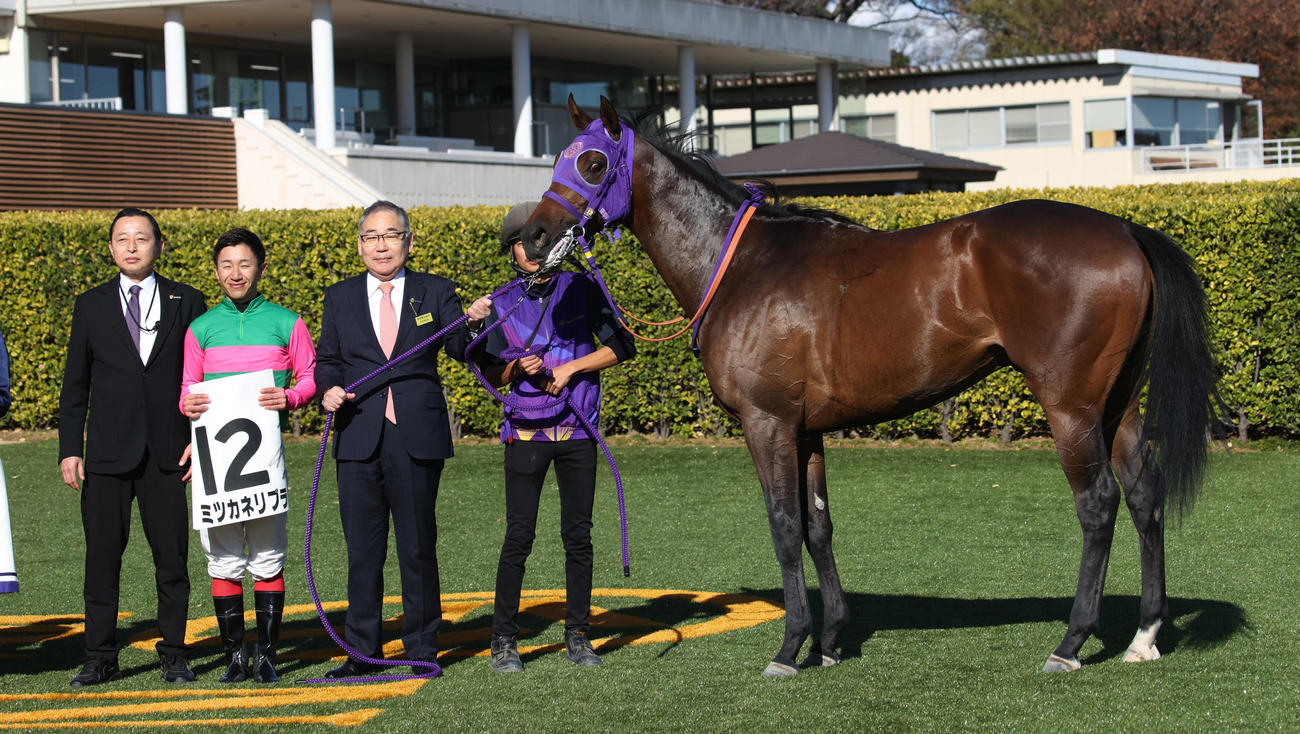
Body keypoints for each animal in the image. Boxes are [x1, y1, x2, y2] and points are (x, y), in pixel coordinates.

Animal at [521, 95, 1219, 676]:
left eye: (590, 162)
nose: (529, 237)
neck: (743, 266)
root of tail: (1125, 230)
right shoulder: (806, 432)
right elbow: (818, 526)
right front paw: (830, 641)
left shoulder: (767, 423)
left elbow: (783, 525)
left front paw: (790, 647)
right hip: (1116, 406)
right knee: (1144, 496)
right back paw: (1144, 637)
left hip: (1071, 406)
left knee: (1098, 504)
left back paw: (1071, 643)